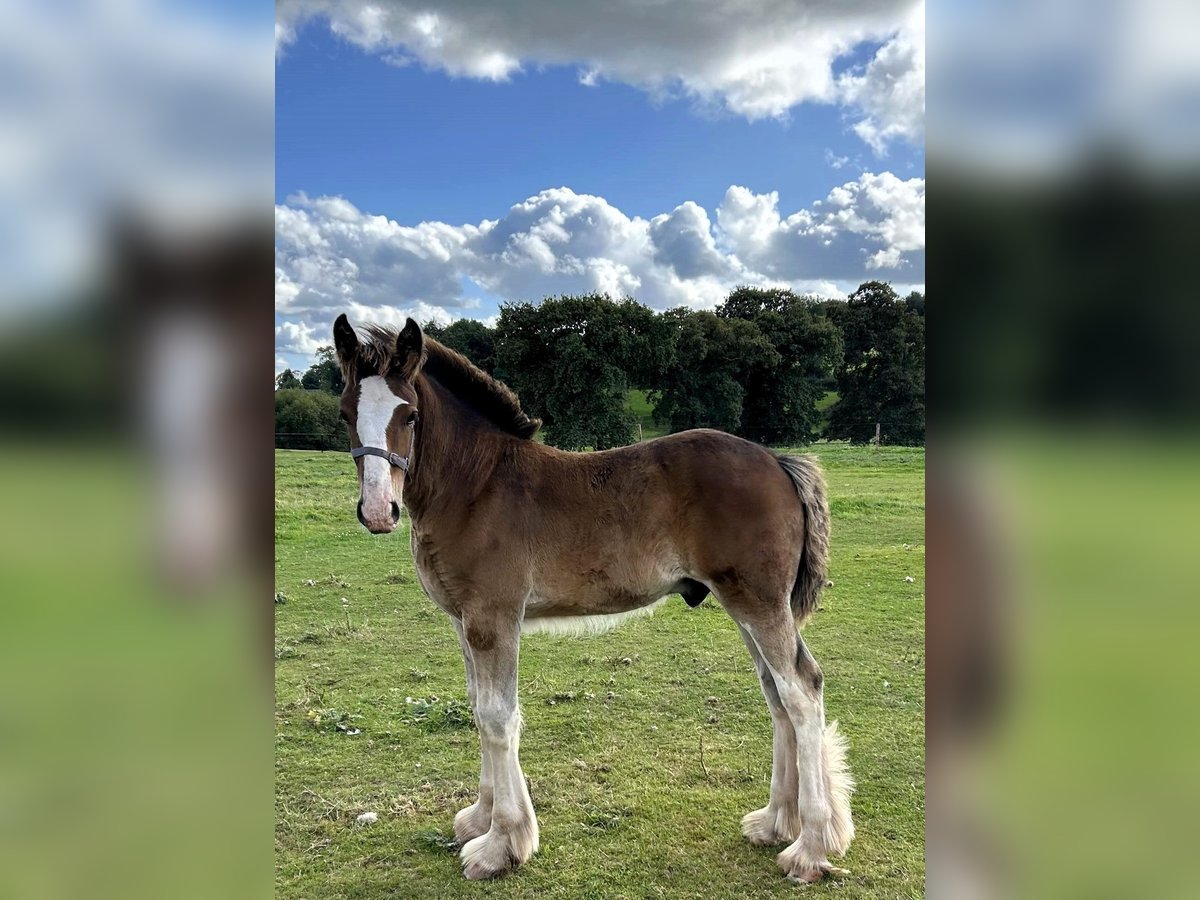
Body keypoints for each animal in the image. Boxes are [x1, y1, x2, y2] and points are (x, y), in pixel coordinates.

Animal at [328, 314, 854, 883]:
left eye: (410, 414)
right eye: (345, 413)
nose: (378, 510)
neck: (476, 486)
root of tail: (777, 461)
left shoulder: (494, 618)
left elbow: (498, 717)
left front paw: (501, 845)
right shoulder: (464, 622)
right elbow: (477, 709)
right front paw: (479, 819)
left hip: (759, 603)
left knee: (801, 691)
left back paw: (809, 848)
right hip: (746, 605)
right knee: (777, 695)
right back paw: (776, 823)